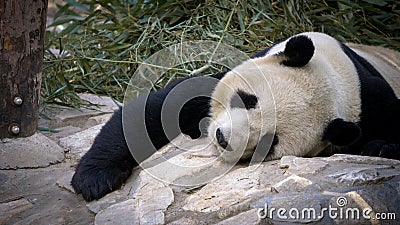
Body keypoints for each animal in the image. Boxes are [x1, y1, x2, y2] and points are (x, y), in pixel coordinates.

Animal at [72, 31, 400, 200]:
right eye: (247, 99)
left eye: (271, 140)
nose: (222, 138)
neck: (336, 77)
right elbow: (152, 111)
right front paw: (94, 179)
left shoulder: (373, 101)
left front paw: (379, 146)